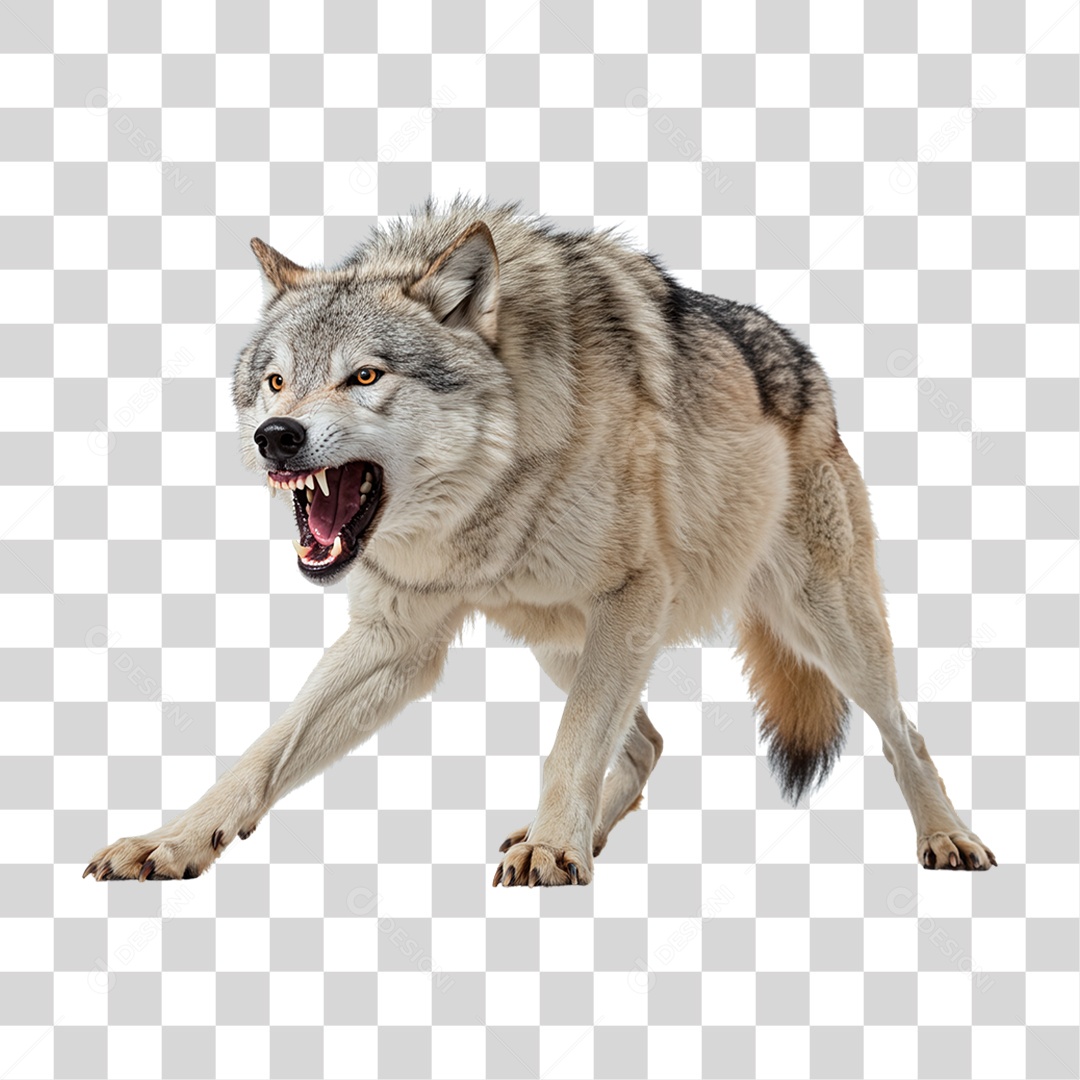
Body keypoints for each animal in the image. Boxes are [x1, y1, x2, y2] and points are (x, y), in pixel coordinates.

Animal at [85, 197, 996, 885]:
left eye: (365, 376)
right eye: (276, 381)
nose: (276, 437)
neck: (488, 500)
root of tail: (809, 365)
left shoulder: (634, 594)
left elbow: (570, 745)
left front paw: (555, 850)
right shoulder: (397, 638)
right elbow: (262, 753)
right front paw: (172, 840)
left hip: (819, 624)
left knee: (903, 730)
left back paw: (947, 837)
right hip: (566, 641)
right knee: (647, 744)